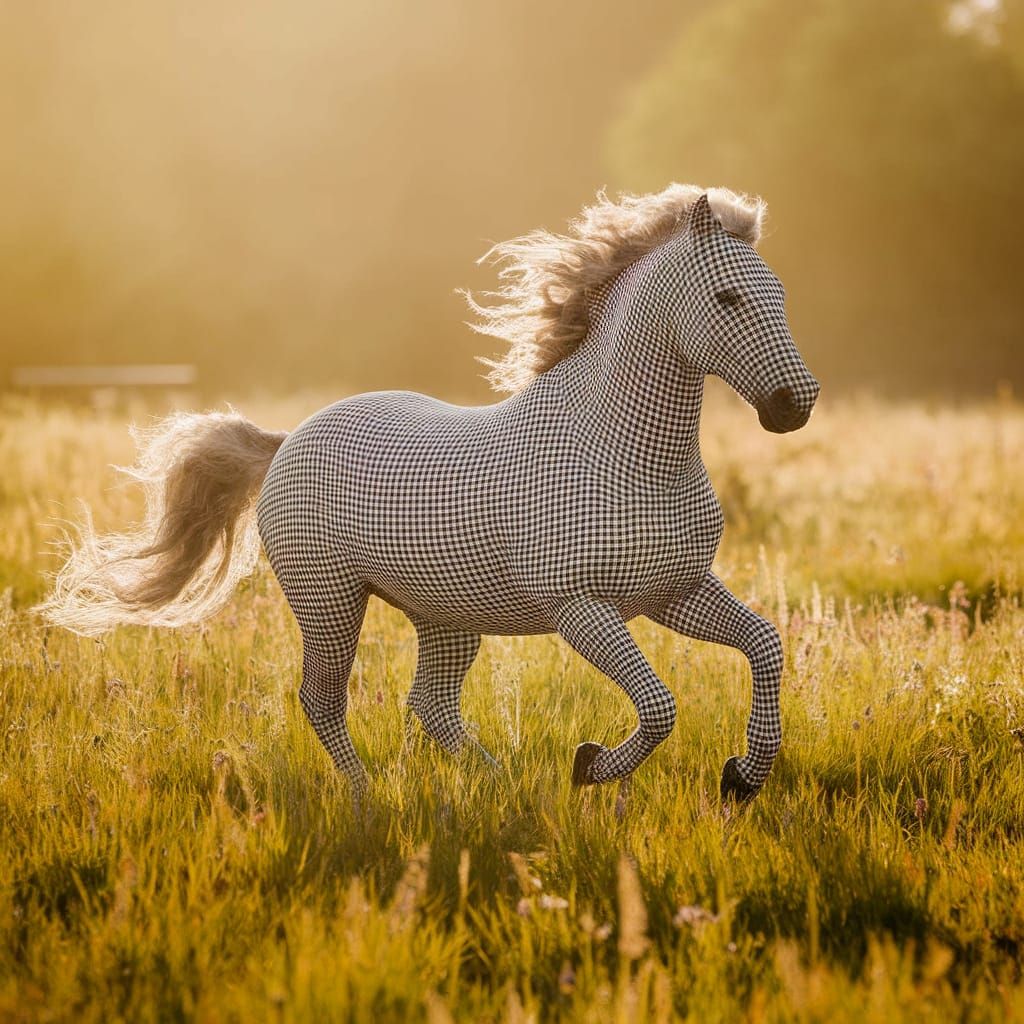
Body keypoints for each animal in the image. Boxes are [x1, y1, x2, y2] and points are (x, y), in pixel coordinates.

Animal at [41, 185, 820, 803]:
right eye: (727, 297)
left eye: (781, 295)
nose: (794, 405)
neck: (629, 459)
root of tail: (288, 440)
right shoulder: (581, 607)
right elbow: (659, 706)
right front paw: (591, 767)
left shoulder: (674, 592)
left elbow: (764, 645)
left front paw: (742, 777)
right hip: (330, 601)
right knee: (323, 698)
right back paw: (367, 797)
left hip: (445, 616)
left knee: (431, 704)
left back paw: (496, 783)